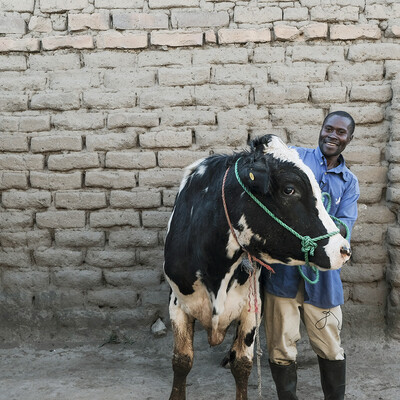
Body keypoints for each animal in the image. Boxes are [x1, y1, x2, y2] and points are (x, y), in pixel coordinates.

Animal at [162, 135, 350, 400]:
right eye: (289, 189)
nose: (343, 249)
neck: (216, 270)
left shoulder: (252, 307)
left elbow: (243, 364)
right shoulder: (177, 303)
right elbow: (182, 361)